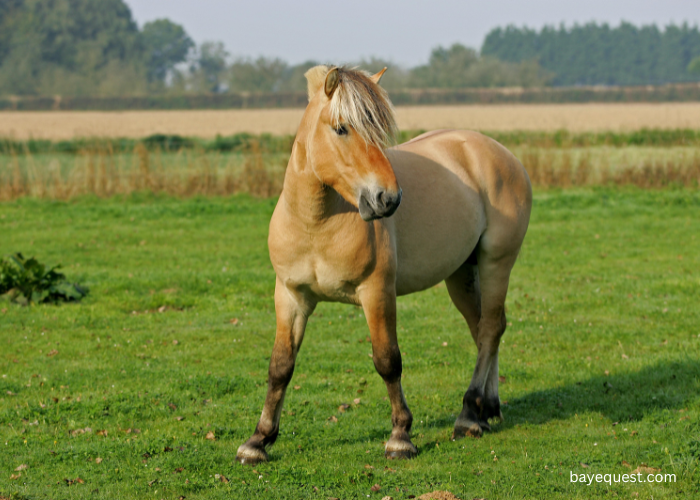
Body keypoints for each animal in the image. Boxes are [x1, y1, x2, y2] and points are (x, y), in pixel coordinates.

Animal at [235, 65, 532, 464]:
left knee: (489, 328)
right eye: (341, 128)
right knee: (484, 328)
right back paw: (486, 409)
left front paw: (400, 436)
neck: (317, 224)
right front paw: (258, 440)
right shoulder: (291, 296)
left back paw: (469, 413)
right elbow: (280, 366)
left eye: (378, 130)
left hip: (496, 262)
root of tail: (500, 154)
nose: (388, 198)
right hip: (461, 274)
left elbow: (387, 360)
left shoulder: (376, 292)